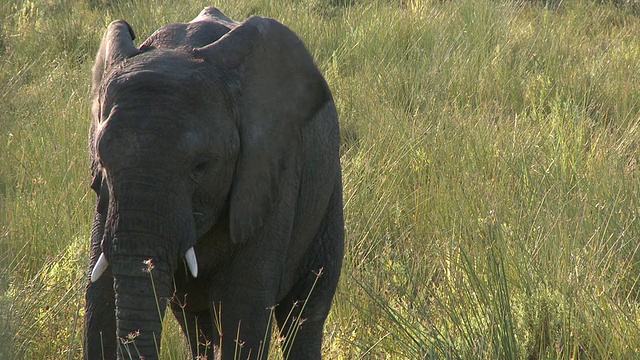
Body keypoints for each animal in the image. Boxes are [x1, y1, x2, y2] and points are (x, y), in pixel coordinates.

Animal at [85, 7, 344, 360]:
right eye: (102, 161)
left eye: (201, 166)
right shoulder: (107, 201)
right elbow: (98, 302)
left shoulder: (272, 171)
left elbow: (242, 307)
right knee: (195, 320)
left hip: (328, 194)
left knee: (305, 311)